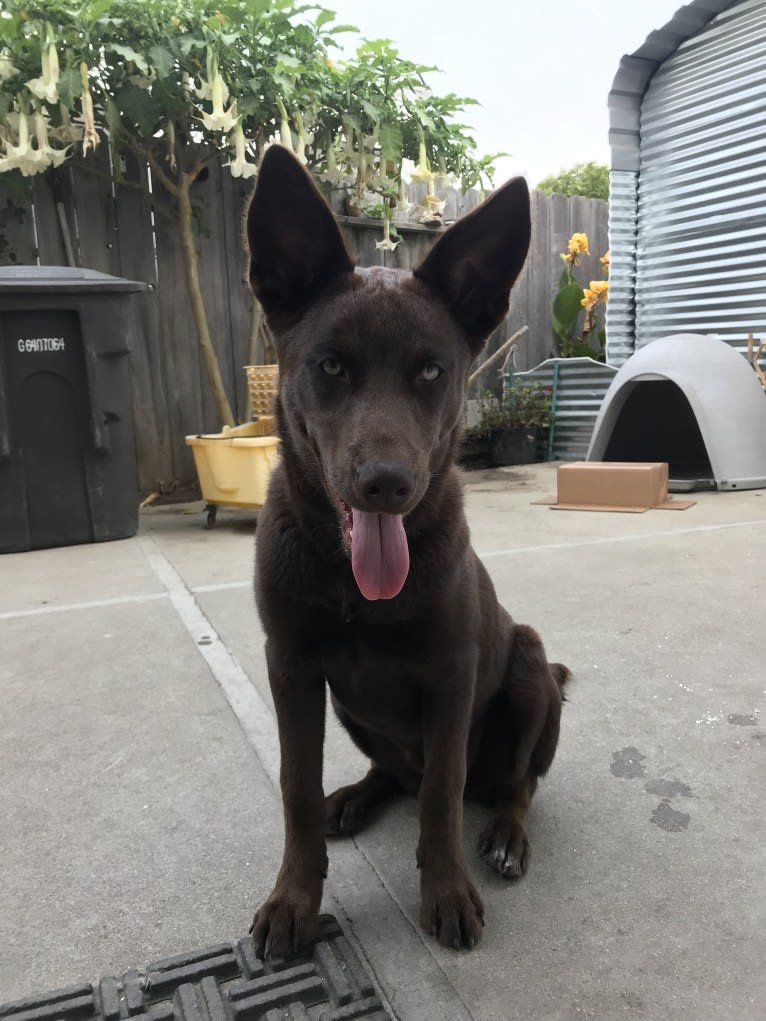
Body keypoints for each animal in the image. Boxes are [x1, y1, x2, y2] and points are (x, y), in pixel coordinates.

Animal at [246, 143, 571, 955]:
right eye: (331, 366)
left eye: (431, 370)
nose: (386, 485)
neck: (353, 586)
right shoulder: (292, 668)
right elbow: (296, 789)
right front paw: (294, 899)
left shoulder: (452, 676)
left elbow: (443, 795)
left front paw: (446, 889)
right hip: (352, 708)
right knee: (397, 774)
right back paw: (356, 796)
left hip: (531, 666)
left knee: (510, 783)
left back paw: (507, 835)